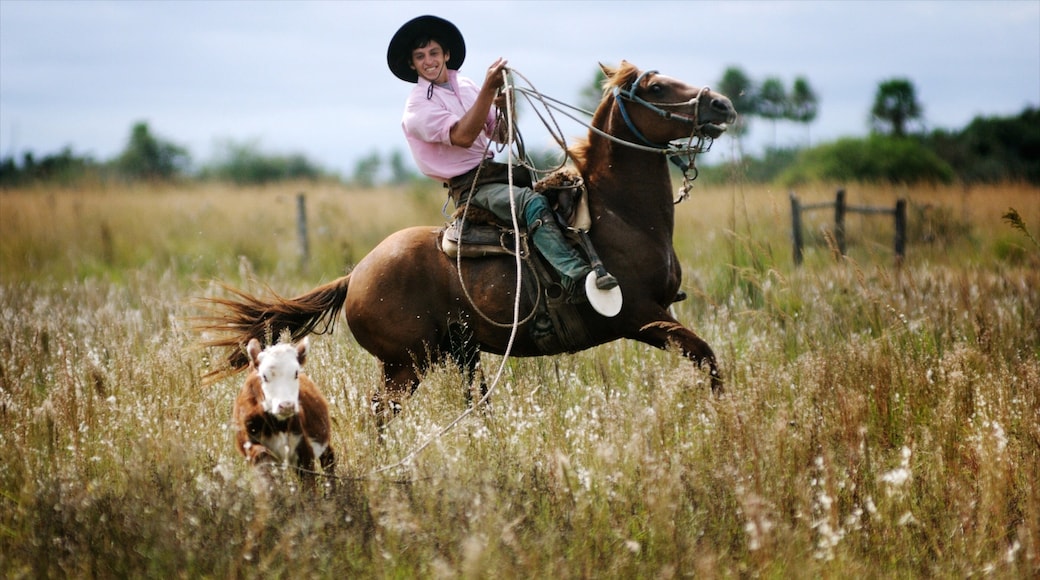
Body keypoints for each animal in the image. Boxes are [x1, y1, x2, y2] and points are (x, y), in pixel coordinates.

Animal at [199, 61, 736, 429]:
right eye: (656, 87)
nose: (723, 105)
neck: (616, 214)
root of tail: (356, 274)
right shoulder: (641, 317)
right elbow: (708, 357)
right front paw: (724, 420)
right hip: (405, 365)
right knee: (381, 414)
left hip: (461, 353)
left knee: (473, 403)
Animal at [233, 337, 335, 481]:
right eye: (264, 376)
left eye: (296, 373)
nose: (286, 405)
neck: (277, 425)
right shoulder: (250, 445)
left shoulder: (303, 449)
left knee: (328, 458)